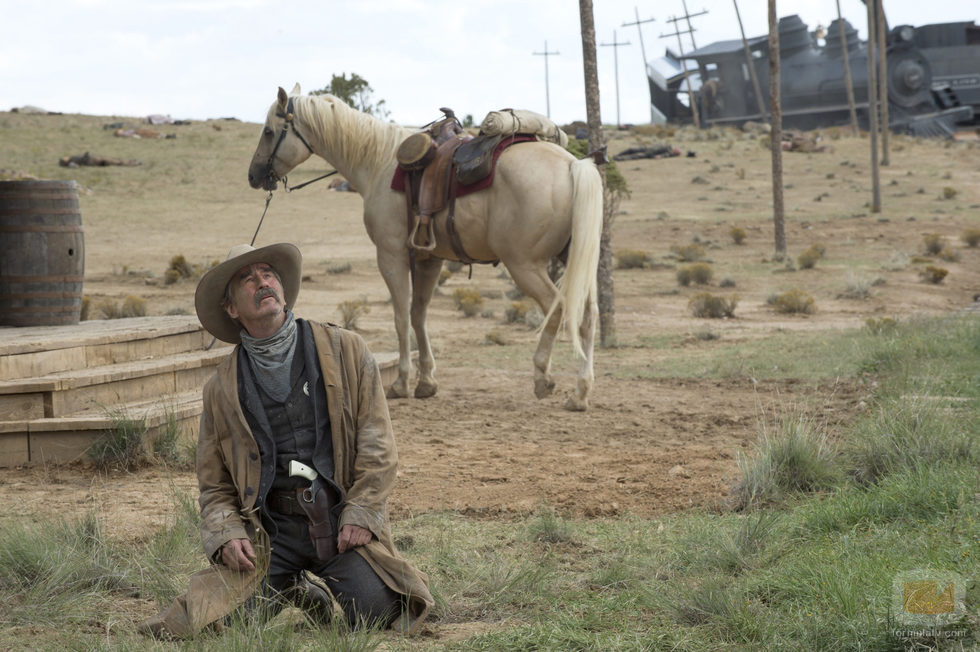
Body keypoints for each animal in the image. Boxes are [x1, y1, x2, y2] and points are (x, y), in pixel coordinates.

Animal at [249, 85, 600, 412]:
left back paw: (543, 378)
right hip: (574, 262)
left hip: (524, 265)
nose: (254, 175)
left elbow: (401, 317)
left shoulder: (391, 257)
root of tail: (573, 166)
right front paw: (427, 381)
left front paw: (402, 382)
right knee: (587, 316)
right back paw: (580, 393)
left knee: (556, 308)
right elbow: (419, 314)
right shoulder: (429, 260)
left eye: (268, 131)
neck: (378, 162)